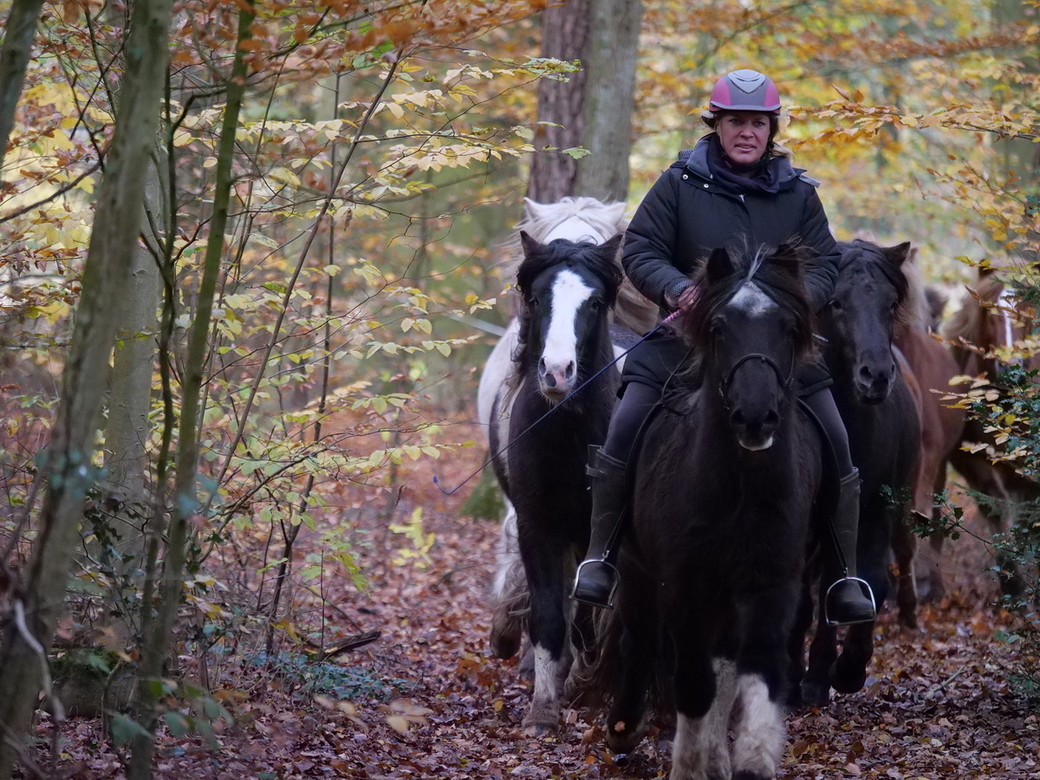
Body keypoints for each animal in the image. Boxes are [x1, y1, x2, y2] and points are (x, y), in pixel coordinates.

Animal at [603, 244, 819, 780]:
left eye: (788, 327)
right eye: (719, 327)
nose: (755, 417)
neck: (740, 490)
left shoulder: (772, 586)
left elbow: (758, 675)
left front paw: (750, 761)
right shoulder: (684, 588)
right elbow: (694, 685)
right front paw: (687, 765)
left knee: (724, 667)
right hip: (637, 571)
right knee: (641, 633)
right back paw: (625, 726)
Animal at [798, 243, 923, 707]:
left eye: (889, 304)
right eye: (835, 303)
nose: (876, 376)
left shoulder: (872, 513)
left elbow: (865, 583)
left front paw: (845, 670)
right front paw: (812, 676)